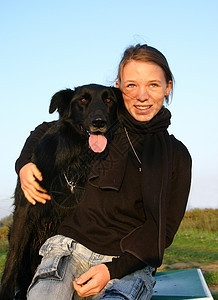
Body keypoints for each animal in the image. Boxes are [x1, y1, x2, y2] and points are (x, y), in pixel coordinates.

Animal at [0, 84, 120, 300]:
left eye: (109, 100)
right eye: (83, 100)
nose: (99, 122)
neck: (73, 161)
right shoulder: (24, 212)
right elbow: (13, 256)